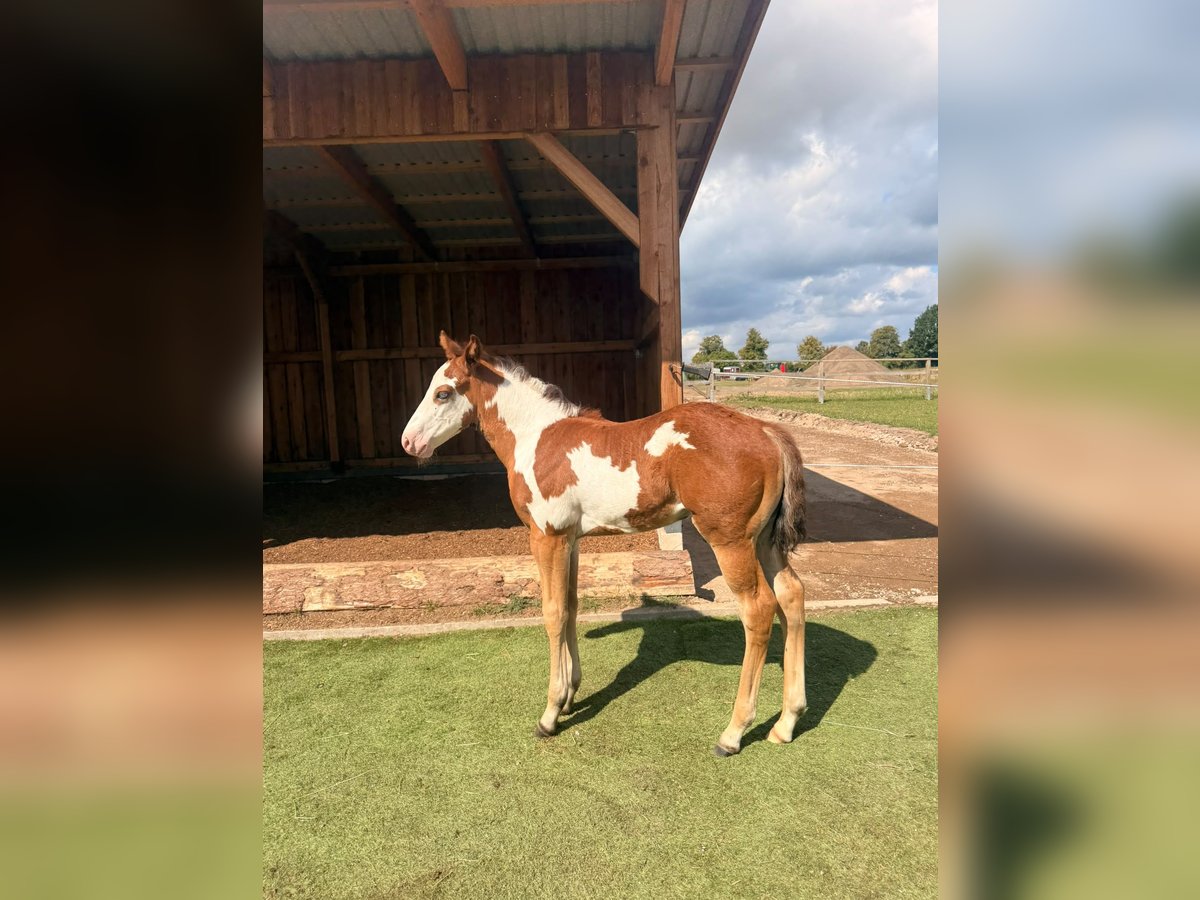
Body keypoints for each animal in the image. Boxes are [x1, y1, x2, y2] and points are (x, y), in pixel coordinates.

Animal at [401, 332, 808, 756]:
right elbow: (571, 607)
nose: (409, 442)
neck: (537, 438)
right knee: (792, 596)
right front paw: (570, 696)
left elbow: (552, 612)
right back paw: (786, 722)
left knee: (759, 610)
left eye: (443, 393)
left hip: (730, 541)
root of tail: (766, 431)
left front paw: (550, 713)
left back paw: (733, 733)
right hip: (765, 542)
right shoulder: (570, 540)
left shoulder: (546, 537)